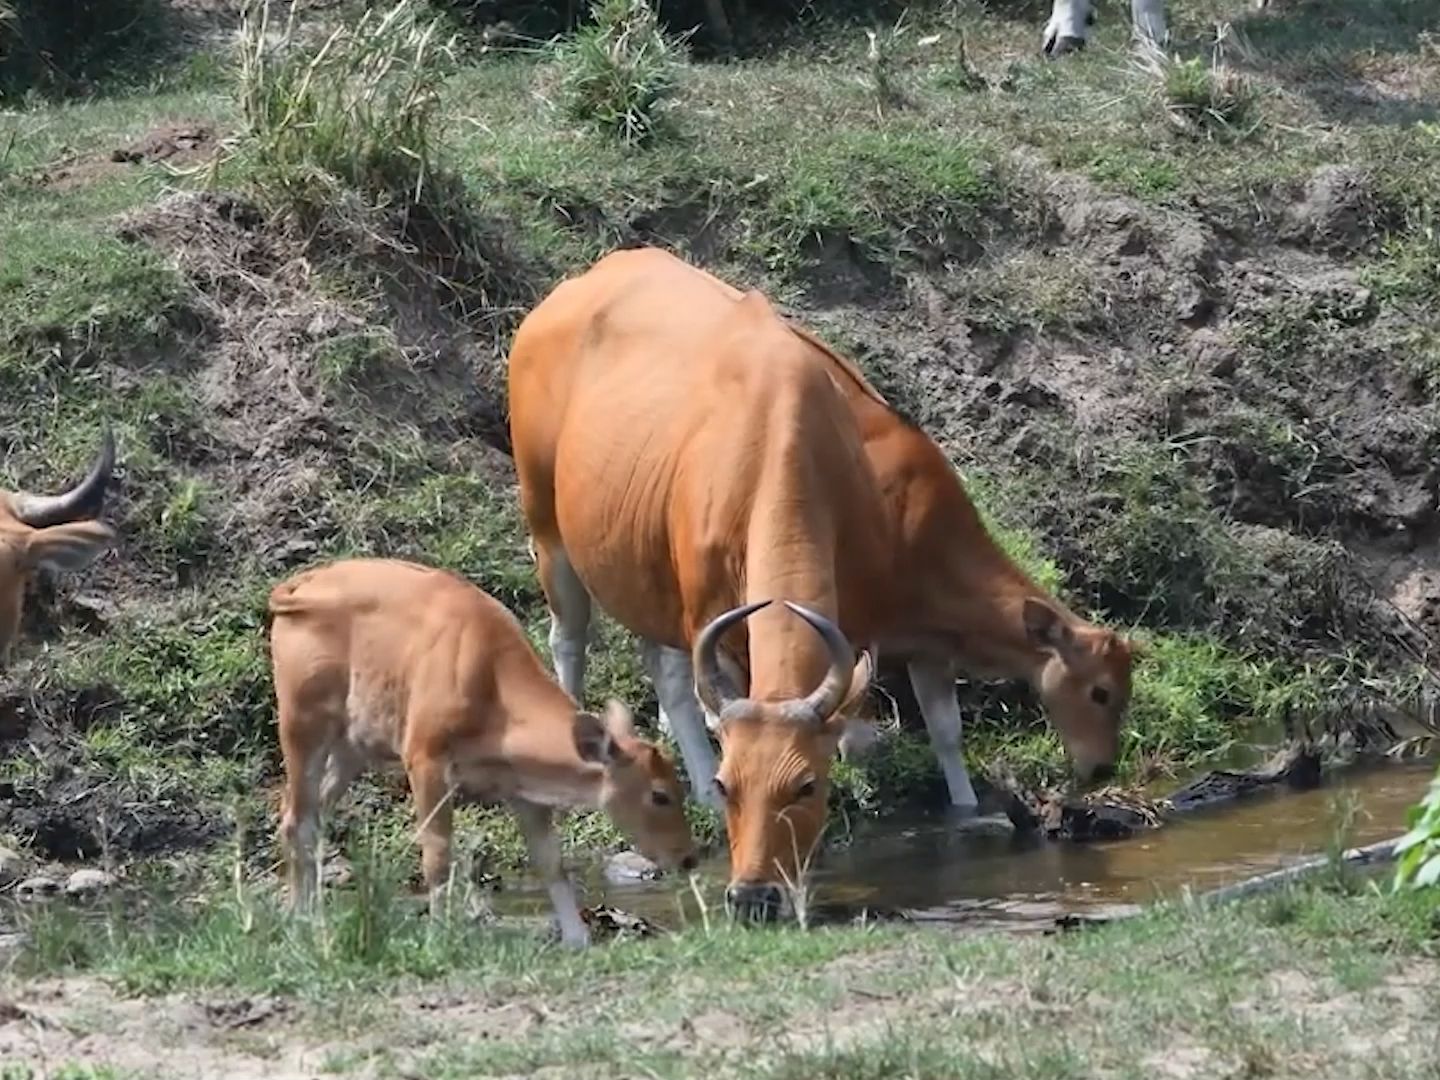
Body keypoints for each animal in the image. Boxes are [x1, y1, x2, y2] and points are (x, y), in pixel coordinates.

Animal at [270, 558, 702, 944]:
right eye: (659, 795)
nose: (688, 858)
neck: (490, 683)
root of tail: (295, 589)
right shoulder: (424, 759)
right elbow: (437, 856)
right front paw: (440, 934)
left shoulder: (522, 786)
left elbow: (551, 862)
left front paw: (578, 938)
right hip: (302, 722)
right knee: (296, 818)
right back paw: (300, 918)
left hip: (351, 747)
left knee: (314, 817)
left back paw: (308, 913)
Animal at [506, 247, 1134, 921]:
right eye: (1099, 692)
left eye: (806, 785)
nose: (752, 895)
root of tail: (579, 285)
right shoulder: (730, 619)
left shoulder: (886, 632)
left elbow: (941, 730)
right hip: (548, 526)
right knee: (571, 639)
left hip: (644, 566)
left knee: (663, 667)